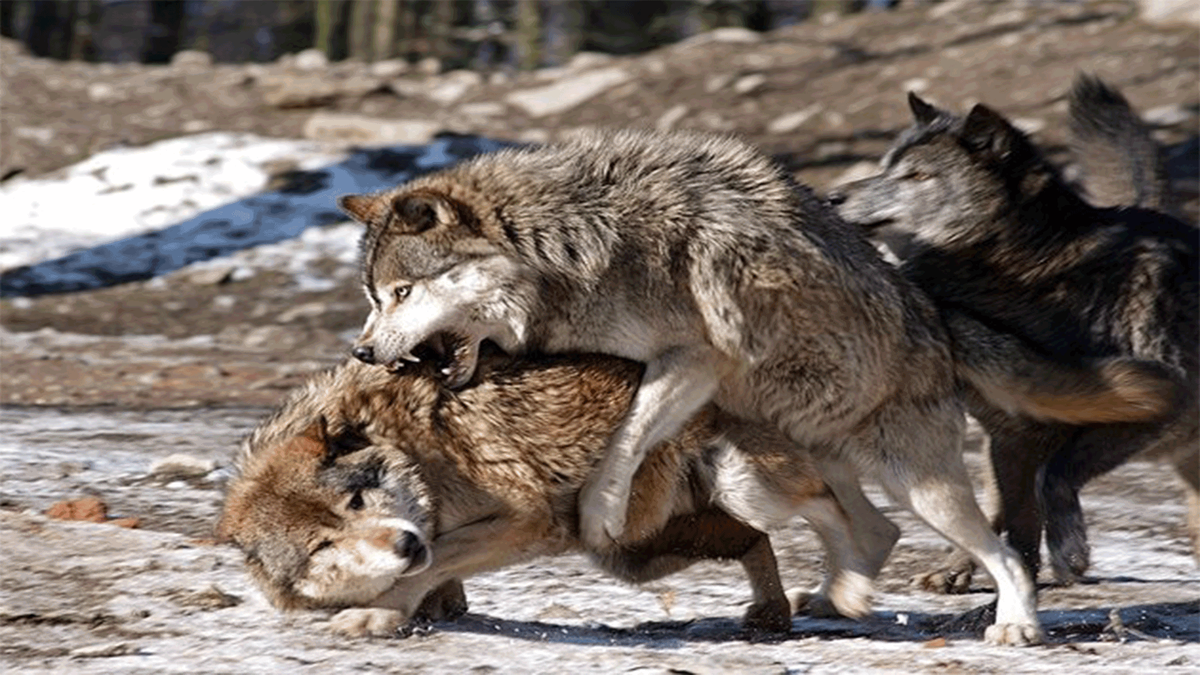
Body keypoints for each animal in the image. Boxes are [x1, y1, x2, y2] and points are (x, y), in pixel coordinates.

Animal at [218, 348, 873, 634]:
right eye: (323, 546)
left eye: (356, 500)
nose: (404, 545)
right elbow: (438, 580)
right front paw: (433, 608)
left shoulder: (524, 520)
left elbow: (430, 564)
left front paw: (381, 615)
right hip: (631, 552)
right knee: (755, 541)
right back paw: (774, 612)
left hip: (742, 485)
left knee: (833, 505)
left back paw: (849, 584)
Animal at [338, 124, 1180, 638]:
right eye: (373, 296)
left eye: (401, 293)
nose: (365, 350)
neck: (575, 243)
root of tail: (936, 311)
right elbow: (621, 433)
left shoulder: (692, 361)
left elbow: (627, 441)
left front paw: (603, 511)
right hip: (810, 452)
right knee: (874, 531)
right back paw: (838, 596)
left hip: (916, 481)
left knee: (1000, 550)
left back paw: (1014, 624)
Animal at [830, 76, 1195, 586]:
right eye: (884, 168)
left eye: (916, 176)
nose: (832, 198)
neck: (1028, 276)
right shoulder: (1010, 436)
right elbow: (1018, 524)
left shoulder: (1159, 405)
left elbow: (1053, 478)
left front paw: (1069, 552)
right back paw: (954, 568)